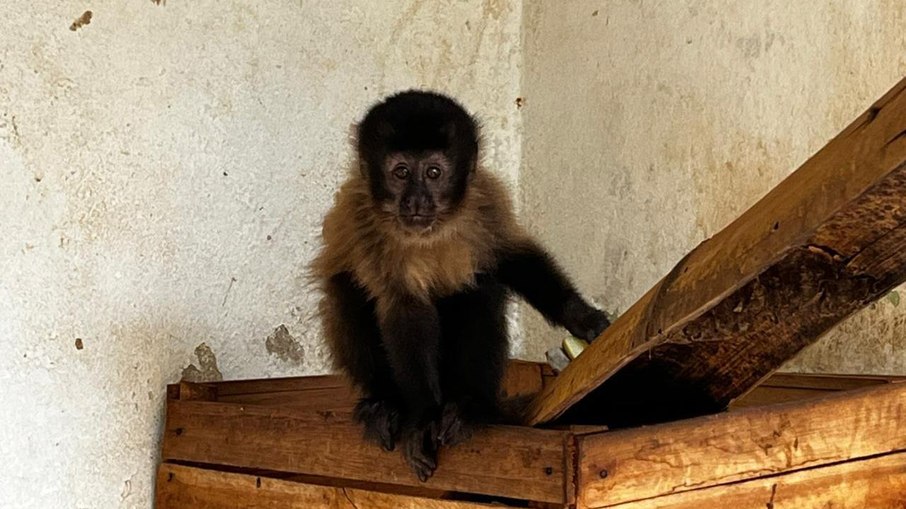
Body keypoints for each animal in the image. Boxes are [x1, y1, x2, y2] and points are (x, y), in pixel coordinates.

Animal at [311, 90, 610, 481]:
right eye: (401, 172)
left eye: (433, 173)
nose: (417, 201)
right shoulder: (363, 221)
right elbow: (405, 311)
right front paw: (422, 417)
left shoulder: (486, 199)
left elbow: (513, 258)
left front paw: (582, 318)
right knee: (346, 287)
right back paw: (384, 403)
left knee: (478, 285)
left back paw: (469, 405)